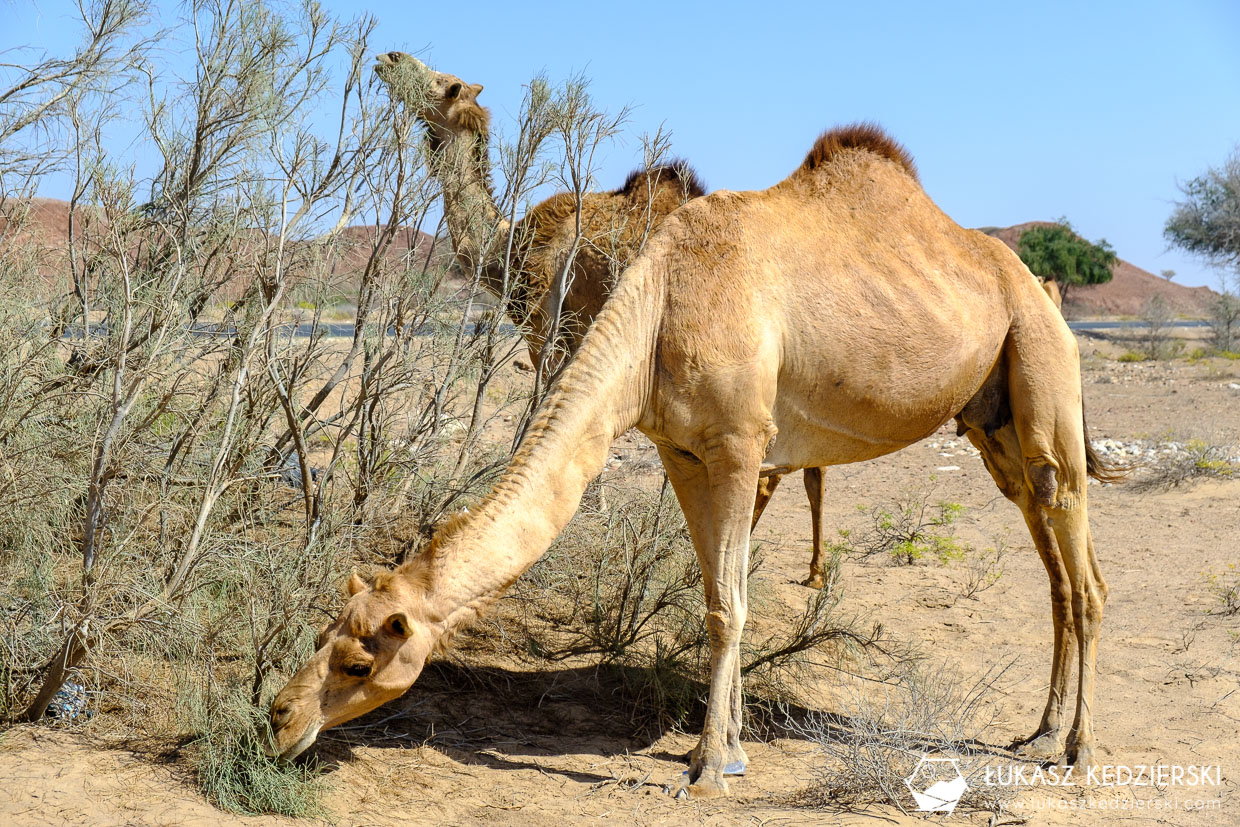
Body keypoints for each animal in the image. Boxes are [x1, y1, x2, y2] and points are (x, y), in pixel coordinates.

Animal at [269, 122, 1116, 803]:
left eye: (360, 659)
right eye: (324, 633)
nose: (279, 714)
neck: (656, 311)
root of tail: (1043, 290)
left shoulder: (740, 445)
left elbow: (726, 605)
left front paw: (708, 768)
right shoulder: (680, 449)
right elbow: (716, 587)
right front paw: (729, 749)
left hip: (1043, 374)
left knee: (1084, 572)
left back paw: (1076, 752)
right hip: (992, 426)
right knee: (1054, 562)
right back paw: (1037, 732)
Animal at [367, 51, 833, 587]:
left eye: (444, 82)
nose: (388, 58)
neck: (509, 249)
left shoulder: (548, 331)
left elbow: (556, 413)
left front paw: (588, 509)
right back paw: (809, 570)